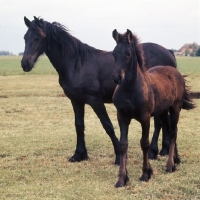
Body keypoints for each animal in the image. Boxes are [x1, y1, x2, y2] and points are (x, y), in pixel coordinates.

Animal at [21, 16, 177, 164]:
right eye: (25, 37)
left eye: (37, 38)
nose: (25, 64)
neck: (77, 64)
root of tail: (169, 52)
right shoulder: (76, 101)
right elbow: (79, 125)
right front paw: (79, 155)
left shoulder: (95, 101)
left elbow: (108, 126)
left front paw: (119, 157)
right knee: (162, 122)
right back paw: (163, 150)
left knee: (159, 123)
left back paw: (154, 152)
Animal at [111, 29, 195, 188]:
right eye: (113, 53)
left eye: (128, 53)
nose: (116, 78)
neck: (130, 88)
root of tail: (175, 71)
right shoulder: (122, 117)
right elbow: (123, 144)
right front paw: (121, 179)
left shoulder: (145, 118)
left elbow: (144, 143)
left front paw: (146, 173)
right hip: (162, 112)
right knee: (169, 129)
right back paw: (175, 160)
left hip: (175, 108)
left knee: (173, 132)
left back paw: (169, 166)